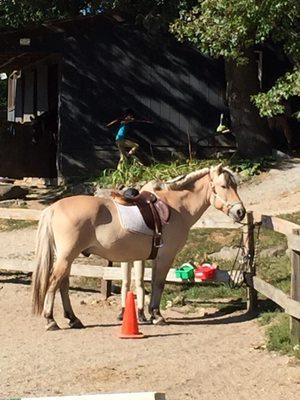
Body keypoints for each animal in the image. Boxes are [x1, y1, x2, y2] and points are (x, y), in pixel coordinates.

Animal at [31, 164, 245, 330]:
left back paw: (73, 319)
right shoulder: (166, 256)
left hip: (67, 258)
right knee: (54, 282)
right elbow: (159, 284)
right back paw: (50, 320)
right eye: (224, 186)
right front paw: (157, 315)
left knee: (63, 284)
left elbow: (149, 282)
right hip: (67, 256)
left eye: (235, 185)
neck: (176, 207)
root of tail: (53, 208)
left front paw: (148, 314)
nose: (240, 212)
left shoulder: (149, 258)